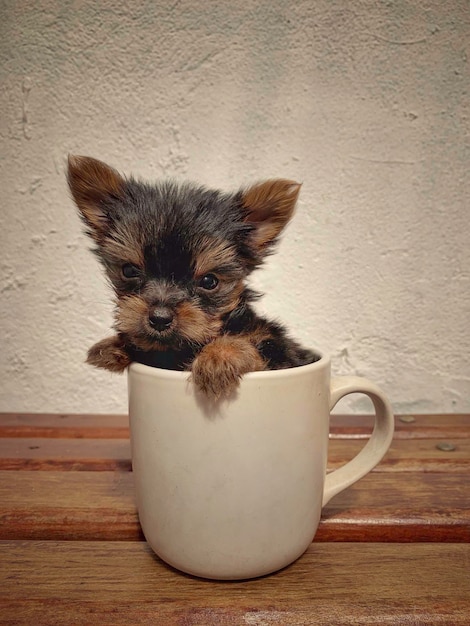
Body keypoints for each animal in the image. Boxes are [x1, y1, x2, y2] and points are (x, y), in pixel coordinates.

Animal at [67, 156, 316, 400]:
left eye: (209, 281)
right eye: (129, 271)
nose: (159, 318)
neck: (178, 351)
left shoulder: (278, 352)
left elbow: (253, 343)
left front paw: (217, 358)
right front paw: (112, 346)